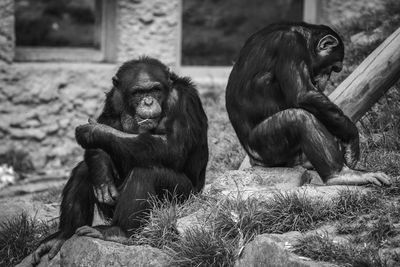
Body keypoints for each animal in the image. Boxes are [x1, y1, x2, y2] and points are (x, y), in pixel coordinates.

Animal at [32, 57, 208, 264]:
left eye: (155, 89)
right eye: (138, 92)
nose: (148, 101)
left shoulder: (184, 100)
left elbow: (173, 148)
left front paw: (95, 131)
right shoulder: (113, 98)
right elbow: (101, 142)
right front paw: (102, 172)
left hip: (182, 200)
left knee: (146, 173)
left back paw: (118, 232)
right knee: (83, 170)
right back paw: (64, 234)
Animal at [225, 22, 390, 186]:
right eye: (332, 67)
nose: (325, 80)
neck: (304, 37)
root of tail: (254, 161)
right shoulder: (291, 45)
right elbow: (304, 94)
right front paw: (352, 140)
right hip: (265, 150)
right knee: (299, 119)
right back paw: (341, 174)